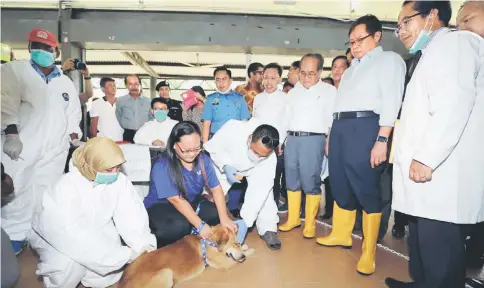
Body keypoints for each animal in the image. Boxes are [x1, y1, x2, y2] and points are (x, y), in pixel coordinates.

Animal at [117, 225, 255, 288]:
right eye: (235, 243)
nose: (242, 256)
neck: (209, 241)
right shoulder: (224, 263)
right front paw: (250, 251)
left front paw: (245, 247)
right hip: (166, 273)